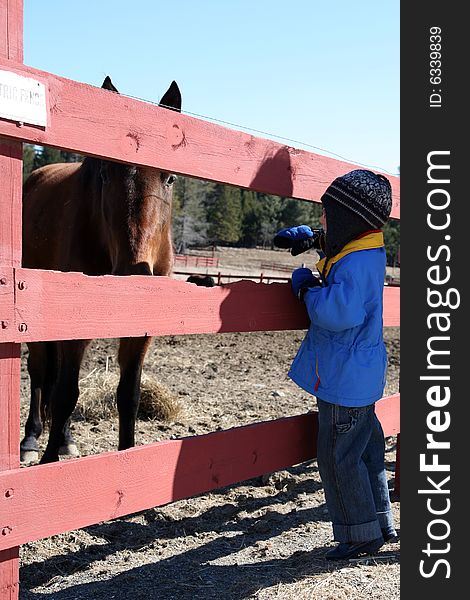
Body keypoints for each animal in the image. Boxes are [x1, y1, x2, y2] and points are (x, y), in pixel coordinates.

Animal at [20, 76, 182, 464]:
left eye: (169, 178)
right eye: (106, 173)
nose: (133, 276)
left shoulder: (141, 331)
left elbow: (129, 395)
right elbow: (65, 394)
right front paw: (49, 463)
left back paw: (65, 439)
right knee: (41, 373)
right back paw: (32, 440)